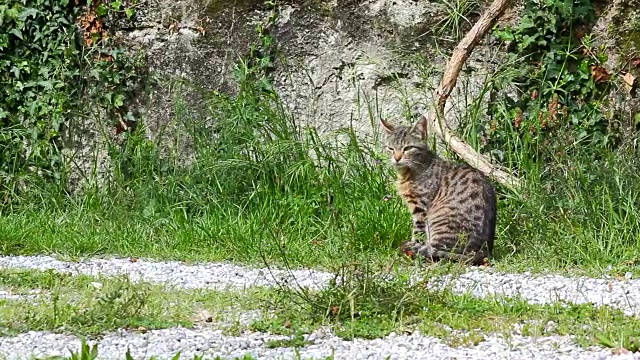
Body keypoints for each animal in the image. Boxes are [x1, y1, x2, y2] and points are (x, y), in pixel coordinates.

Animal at [382, 115, 498, 264]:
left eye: (408, 148)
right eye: (390, 148)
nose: (397, 158)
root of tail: (483, 252)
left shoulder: (420, 208)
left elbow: (418, 234)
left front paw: (414, 248)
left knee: (437, 252)